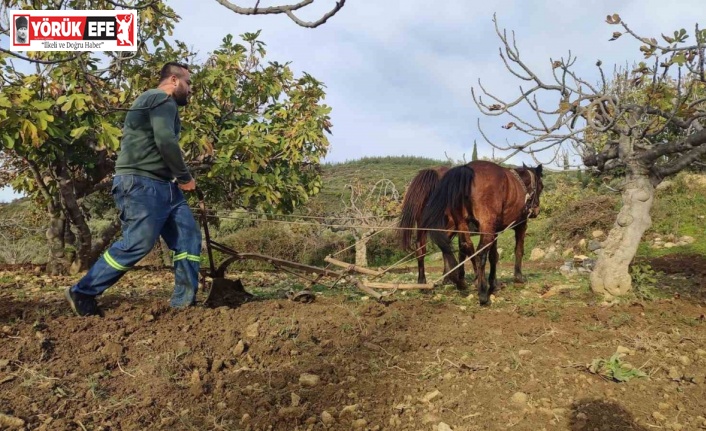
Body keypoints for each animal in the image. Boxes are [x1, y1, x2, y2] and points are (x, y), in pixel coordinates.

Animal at [420, 160, 540, 306]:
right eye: (541, 186)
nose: (536, 210)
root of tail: (466, 170)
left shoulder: (495, 230)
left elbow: (494, 256)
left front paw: (493, 283)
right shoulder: (520, 225)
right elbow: (518, 250)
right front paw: (518, 277)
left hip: (461, 225)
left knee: (460, 247)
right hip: (482, 227)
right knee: (479, 253)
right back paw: (482, 291)